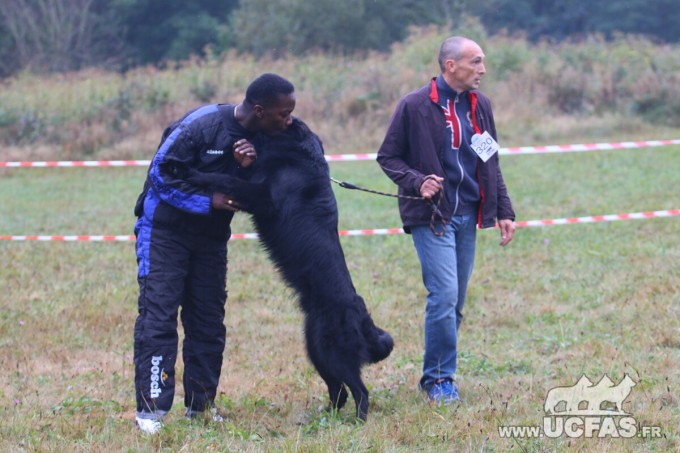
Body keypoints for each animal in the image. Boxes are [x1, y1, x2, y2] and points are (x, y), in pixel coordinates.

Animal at [181, 117, 394, 420]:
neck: (301, 156)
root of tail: (363, 315)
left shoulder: (263, 198)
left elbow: (227, 179)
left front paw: (189, 171)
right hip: (316, 348)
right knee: (338, 390)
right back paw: (323, 416)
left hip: (333, 352)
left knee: (359, 390)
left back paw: (358, 420)